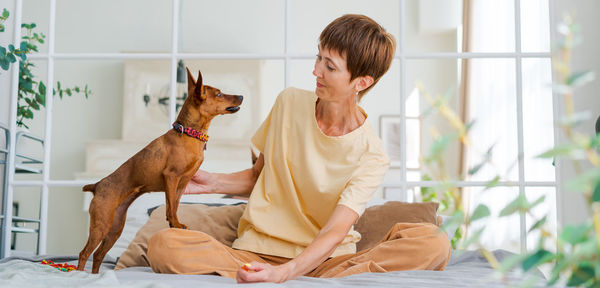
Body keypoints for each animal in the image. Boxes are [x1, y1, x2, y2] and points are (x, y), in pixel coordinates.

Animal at [77, 67, 241, 272]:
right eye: (219, 94)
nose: (242, 96)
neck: (190, 134)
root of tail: (97, 185)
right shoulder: (171, 177)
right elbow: (170, 206)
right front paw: (175, 223)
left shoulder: (181, 184)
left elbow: (175, 205)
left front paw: (174, 225)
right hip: (101, 223)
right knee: (84, 253)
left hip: (114, 227)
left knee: (98, 254)